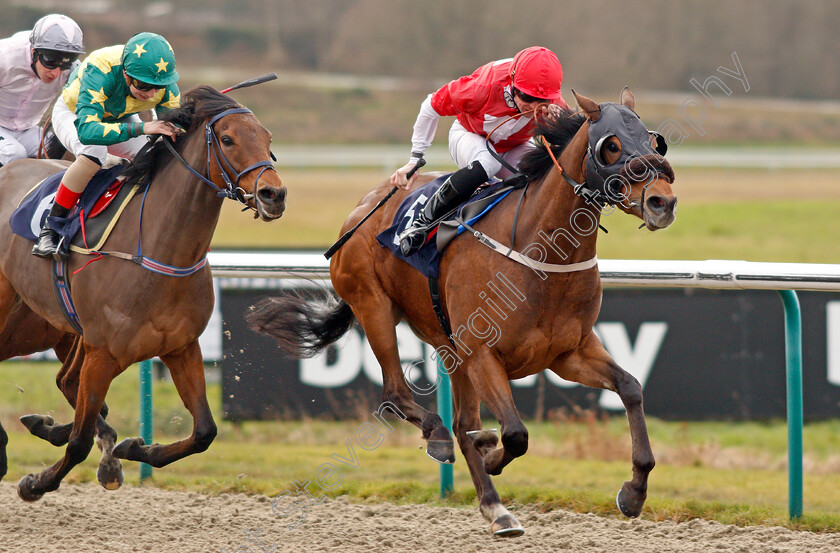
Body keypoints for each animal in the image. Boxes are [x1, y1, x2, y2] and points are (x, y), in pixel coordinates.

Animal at [0, 85, 286, 500]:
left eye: (267, 138)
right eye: (229, 139)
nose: (273, 194)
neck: (157, 249)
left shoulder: (180, 346)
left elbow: (204, 431)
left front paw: (135, 448)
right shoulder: (102, 352)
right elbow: (80, 440)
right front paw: (36, 482)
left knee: (67, 383)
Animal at [248, 89, 676, 536]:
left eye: (654, 140)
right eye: (611, 145)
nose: (662, 201)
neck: (540, 252)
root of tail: (362, 207)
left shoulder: (568, 353)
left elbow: (630, 387)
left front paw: (634, 491)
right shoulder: (484, 353)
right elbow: (516, 434)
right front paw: (491, 451)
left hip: (449, 346)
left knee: (458, 421)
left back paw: (494, 505)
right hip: (374, 305)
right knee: (398, 394)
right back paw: (442, 440)